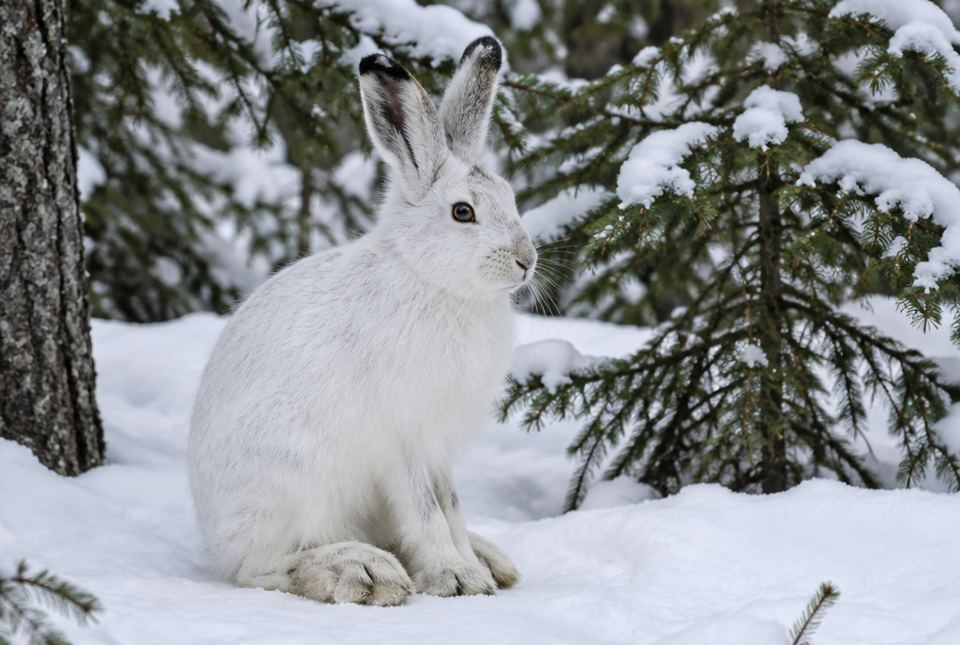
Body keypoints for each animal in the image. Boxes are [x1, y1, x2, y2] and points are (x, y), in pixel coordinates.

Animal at [187, 36, 536, 607]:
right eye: (463, 212)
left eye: (511, 198)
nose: (527, 260)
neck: (431, 279)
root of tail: (211, 529)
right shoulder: (403, 440)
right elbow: (427, 511)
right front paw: (456, 578)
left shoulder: (439, 448)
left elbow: (453, 508)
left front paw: (470, 569)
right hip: (292, 476)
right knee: (257, 568)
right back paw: (359, 570)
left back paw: (490, 559)